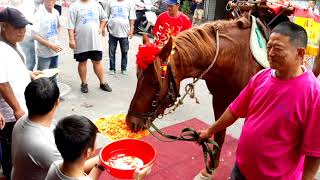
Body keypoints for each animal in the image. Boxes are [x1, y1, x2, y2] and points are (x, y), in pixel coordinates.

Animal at [126, 14, 264, 169]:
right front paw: (210, 167)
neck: (235, 58)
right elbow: (219, 134)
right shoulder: (220, 100)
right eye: (138, 76)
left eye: (155, 82)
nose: (131, 122)